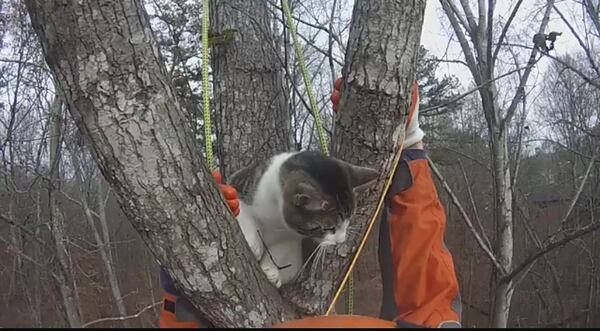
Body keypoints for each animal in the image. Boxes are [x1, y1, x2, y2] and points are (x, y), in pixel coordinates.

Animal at [227, 152, 378, 290]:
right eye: (328, 228)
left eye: (348, 220)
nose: (340, 241)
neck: (278, 220)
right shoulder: (241, 183)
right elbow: (239, 206)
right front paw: (253, 243)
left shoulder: (291, 237)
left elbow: (283, 251)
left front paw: (272, 271)